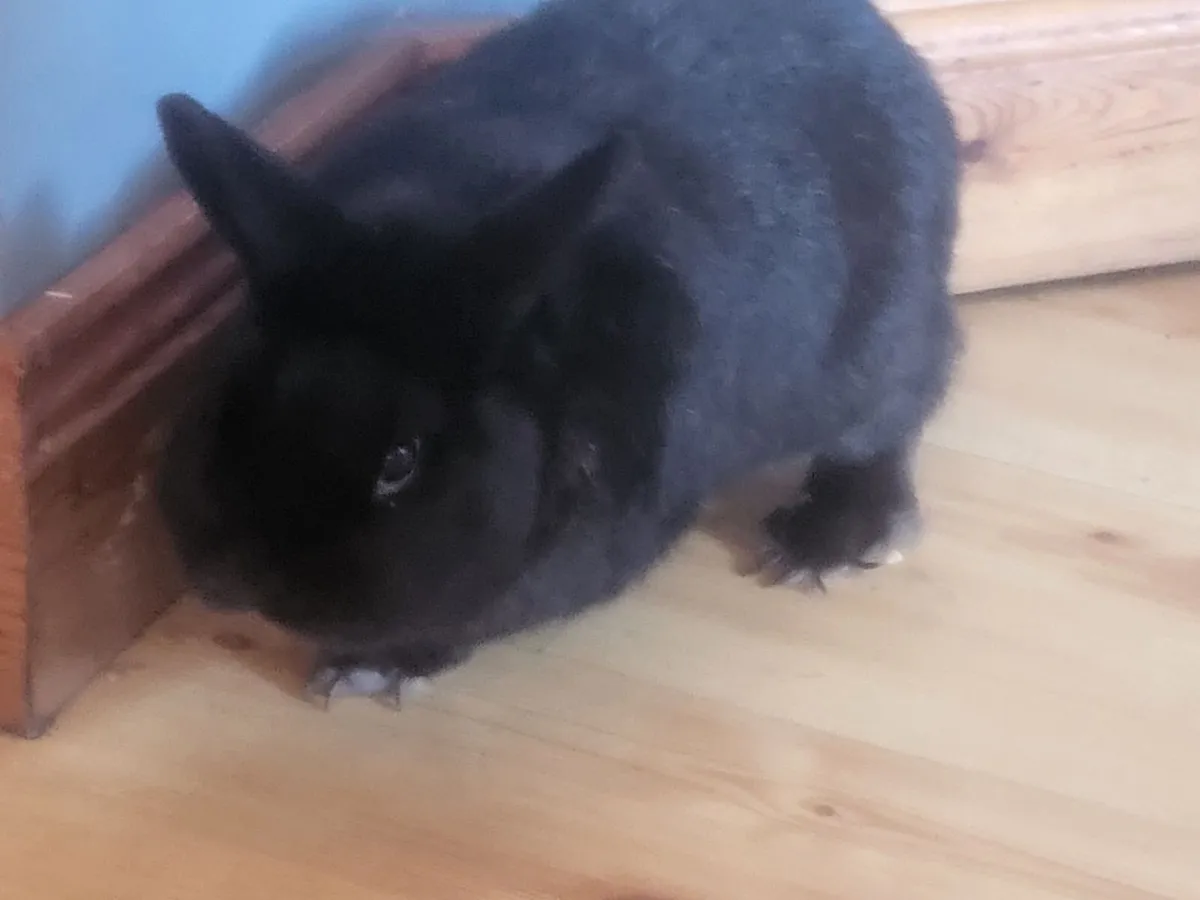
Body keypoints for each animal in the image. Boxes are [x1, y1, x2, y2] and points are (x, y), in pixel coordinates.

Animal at [152, 0, 963, 707]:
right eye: (229, 401)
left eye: (401, 462)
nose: (233, 577)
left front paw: (372, 669)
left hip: (875, 350)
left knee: (906, 402)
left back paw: (829, 539)